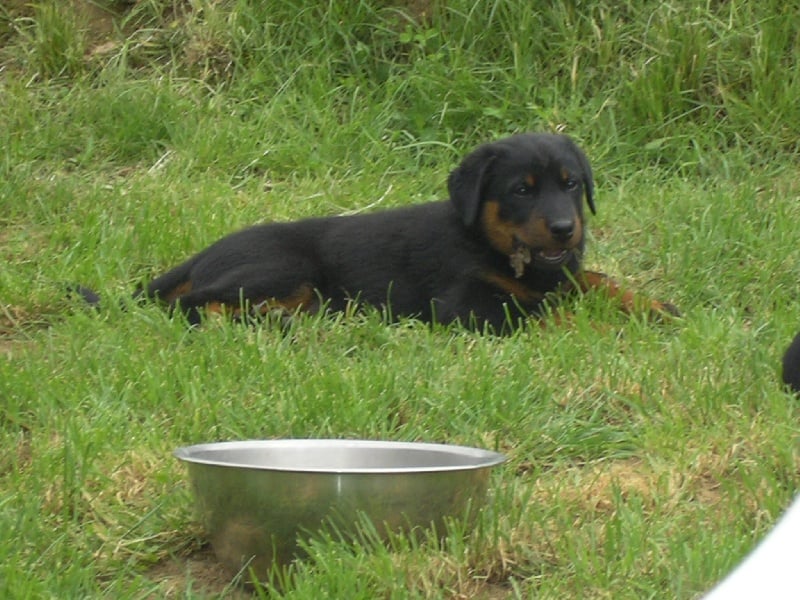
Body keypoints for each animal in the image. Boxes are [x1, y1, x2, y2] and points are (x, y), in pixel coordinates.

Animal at [81, 133, 680, 330]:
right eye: (521, 190)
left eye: (572, 184)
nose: (564, 229)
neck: (488, 242)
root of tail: (200, 255)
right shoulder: (461, 306)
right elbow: (538, 315)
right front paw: (597, 327)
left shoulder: (564, 273)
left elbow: (595, 280)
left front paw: (653, 306)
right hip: (284, 267)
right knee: (193, 306)